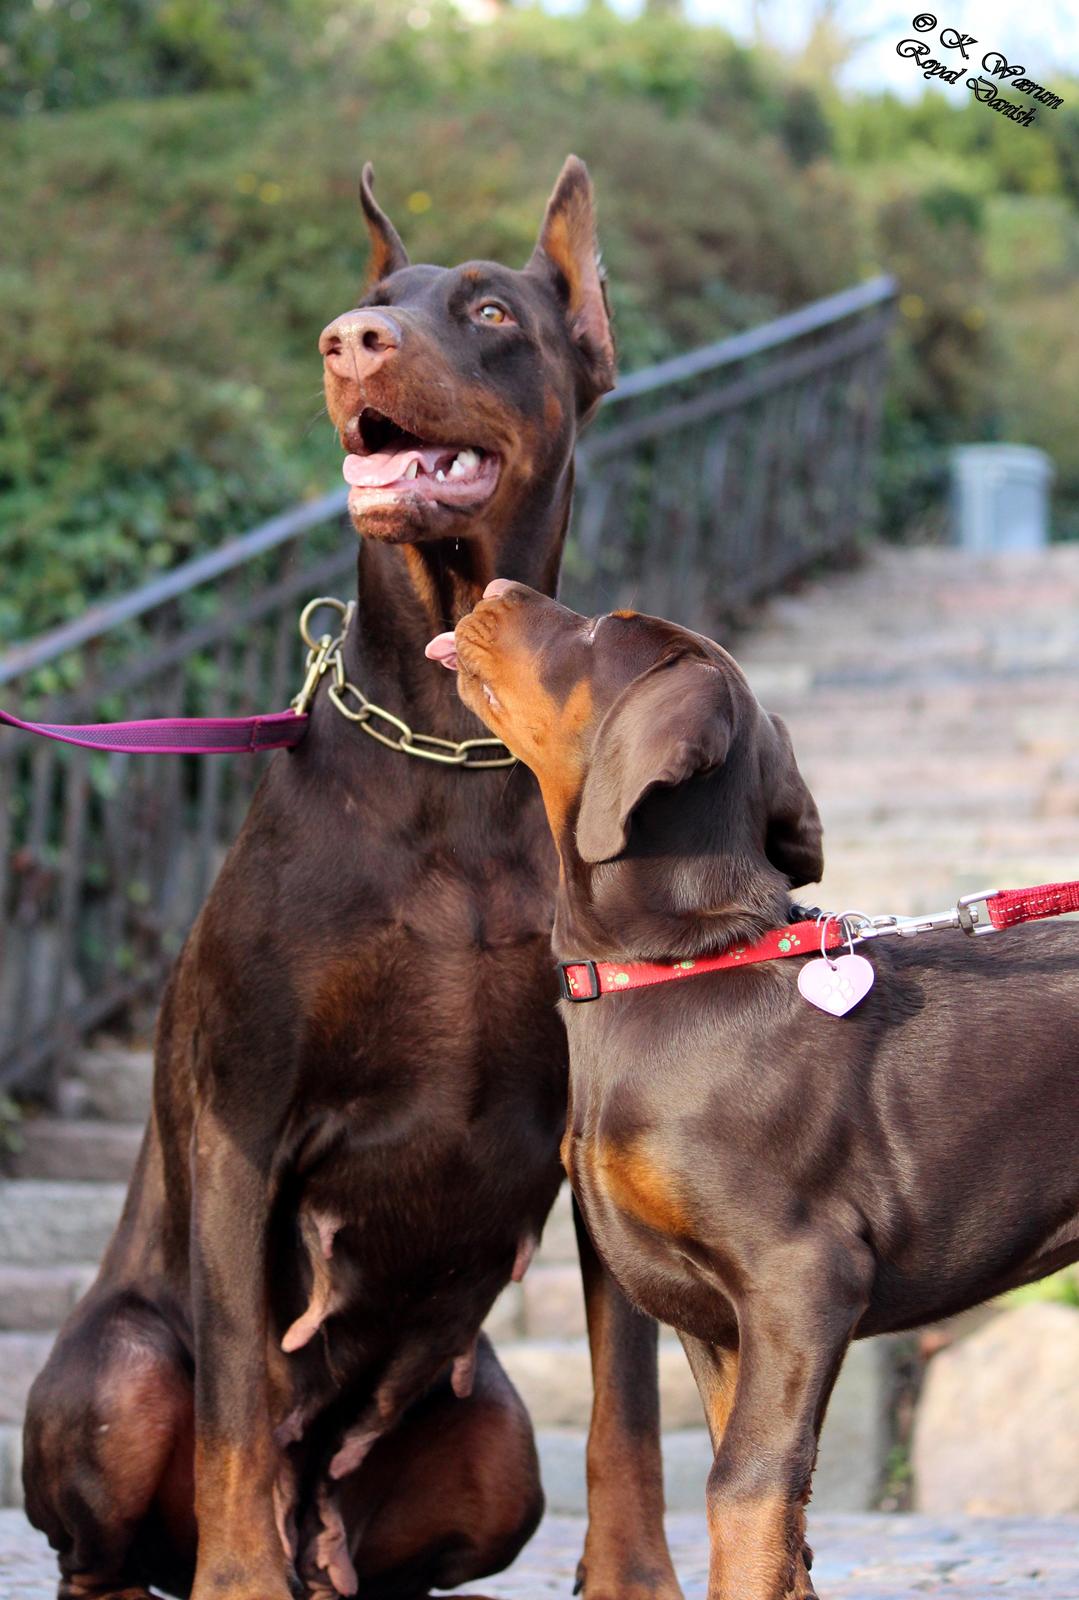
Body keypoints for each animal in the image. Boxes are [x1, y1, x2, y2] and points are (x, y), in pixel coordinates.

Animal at [23, 159, 681, 1600]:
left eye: (488, 309)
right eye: (371, 301)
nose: (346, 341)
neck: (451, 742)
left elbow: (626, 1403)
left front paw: (635, 1579)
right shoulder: (242, 1121)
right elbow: (236, 1404)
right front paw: (240, 1582)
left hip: (488, 1435)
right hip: (115, 1371)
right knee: (131, 1512)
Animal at [429, 585, 1075, 1600]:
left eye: (601, 629)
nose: (492, 592)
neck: (669, 972)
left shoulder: (800, 1274)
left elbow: (744, 1488)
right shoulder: (723, 1319)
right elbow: (783, 1520)